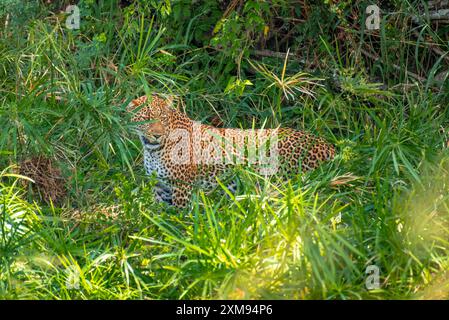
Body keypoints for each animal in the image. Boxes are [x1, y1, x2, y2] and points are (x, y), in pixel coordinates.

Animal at [124, 93, 334, 208]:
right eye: (147, 119)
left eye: (163, 118)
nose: (157, 135)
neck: (153, 150)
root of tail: (328, 146)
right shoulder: (160, 187)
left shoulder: (182, 187)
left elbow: (178, 215)